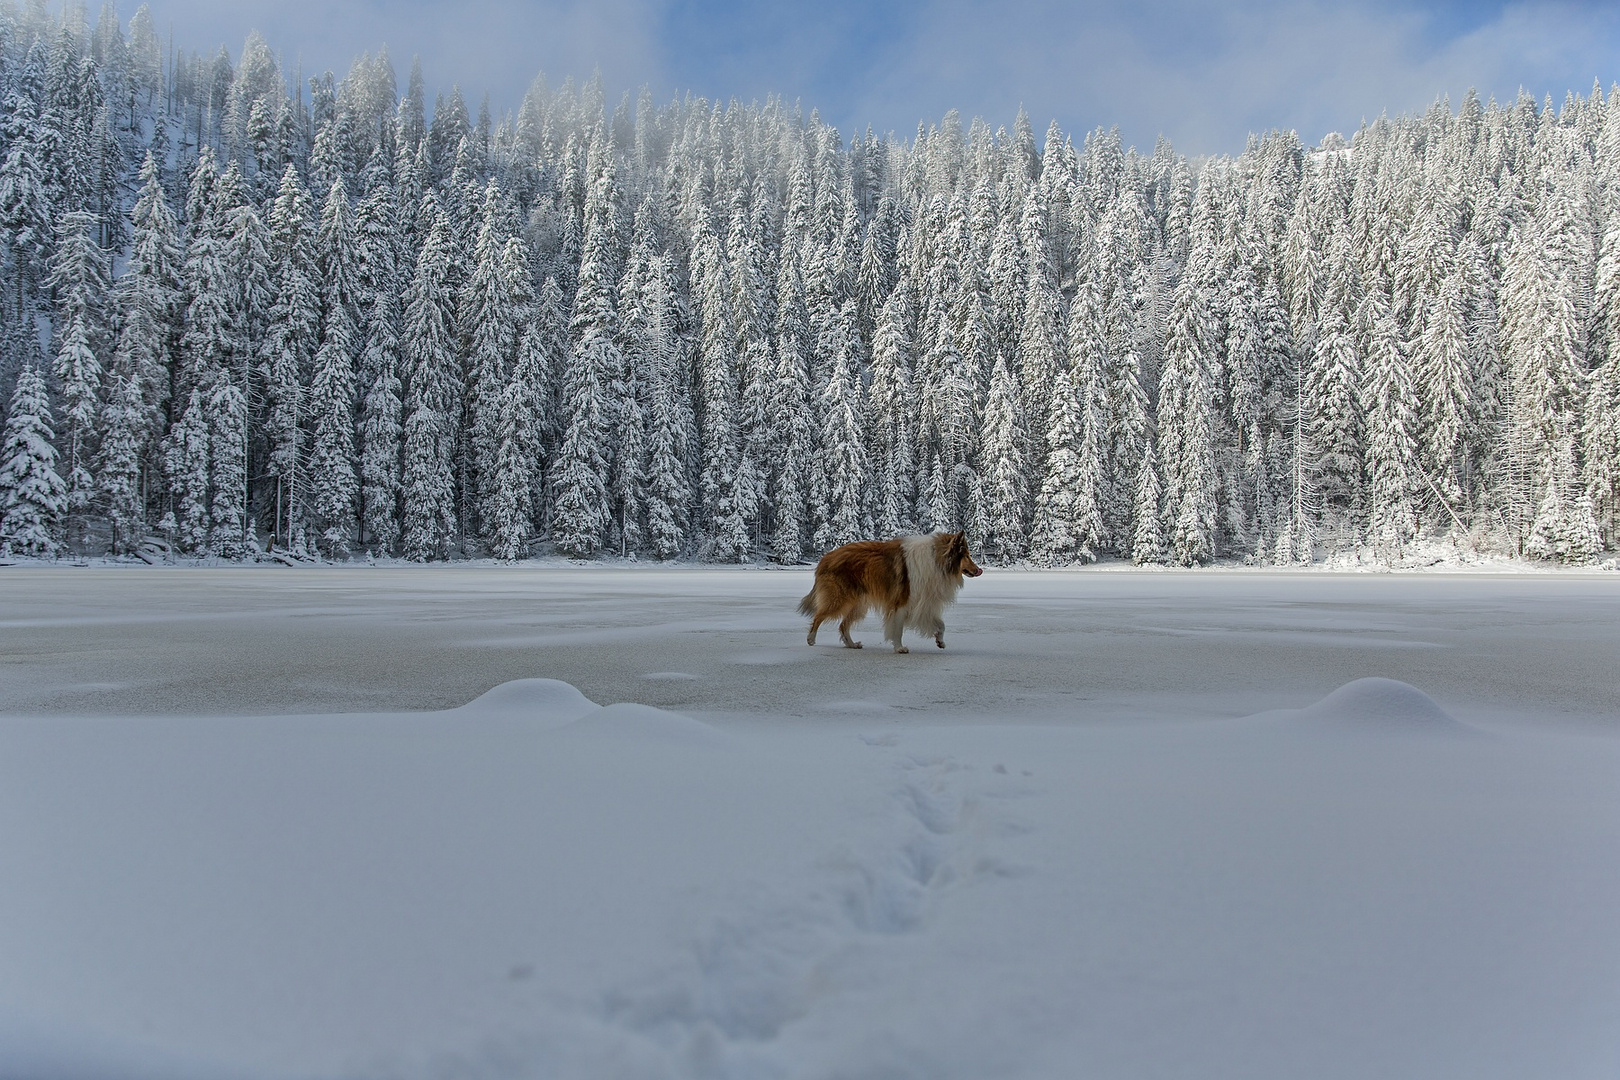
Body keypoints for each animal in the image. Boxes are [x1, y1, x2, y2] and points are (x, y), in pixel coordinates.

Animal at [800, 531, 978, 650]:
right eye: (967, 555)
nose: (979, 570)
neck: (937, 560)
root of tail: (825, 558)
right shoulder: (901, 603)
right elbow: (898, 629)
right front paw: (899, 648)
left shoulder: (922, 603)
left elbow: (941, 624)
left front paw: (940, 641)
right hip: (839, 599)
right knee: (818, 616)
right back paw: (810, 639)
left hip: (859, 605)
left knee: (843, 625)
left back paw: (852, 644)